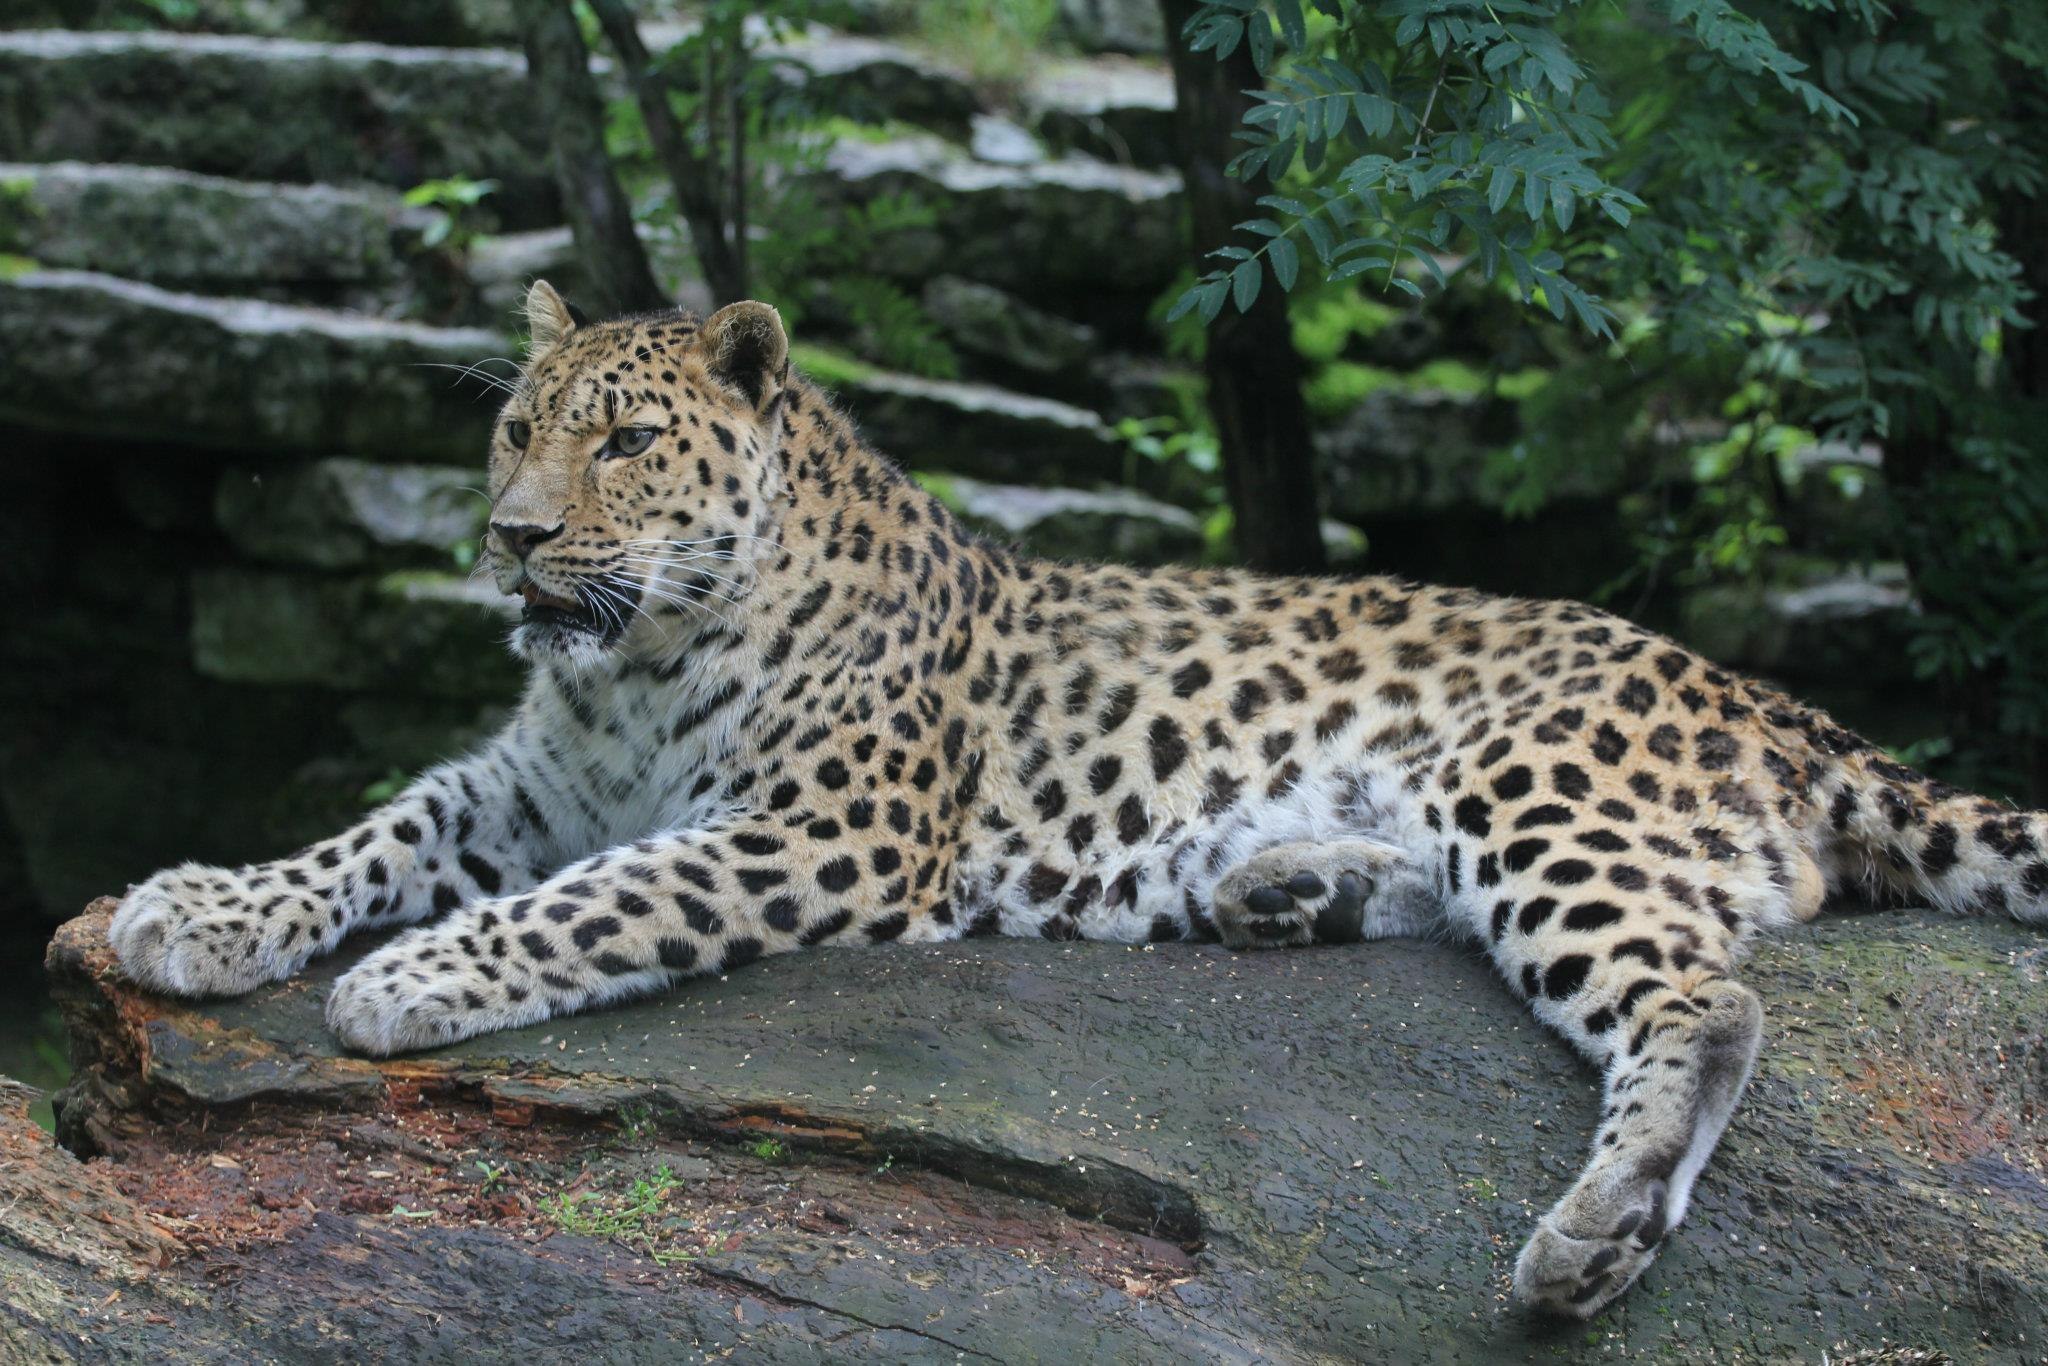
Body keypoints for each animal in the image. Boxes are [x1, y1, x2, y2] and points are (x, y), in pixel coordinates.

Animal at [108, 282, 2048, 1318]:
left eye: (627, 443)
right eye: (514, 427)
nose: (510, 541)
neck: (634, 655)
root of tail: (1765, 692)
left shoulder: (816, 835)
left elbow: (598, 898)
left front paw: (411, 976)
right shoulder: (518, 785)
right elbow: (375, 832)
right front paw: (199, 907)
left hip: (1534, 786)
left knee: (1707, 997)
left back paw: (1589, 1238)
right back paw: (1278, 890)